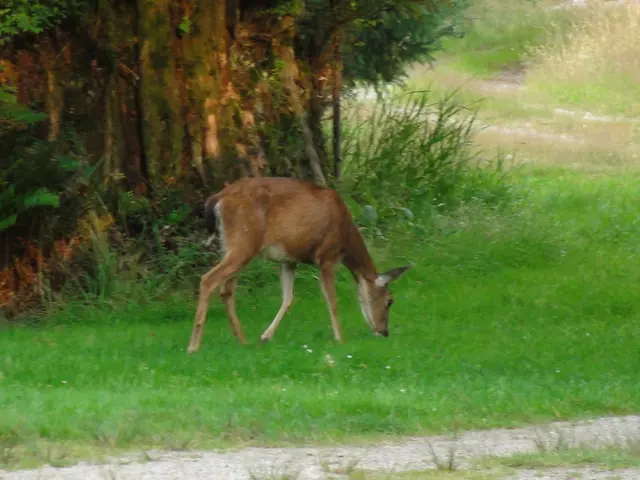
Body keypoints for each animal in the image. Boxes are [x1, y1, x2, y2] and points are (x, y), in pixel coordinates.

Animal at [187, 177, 411, 354]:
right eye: (390, 301)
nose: (384, 332)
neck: (346, 237)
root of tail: (218, 199)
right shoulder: (327, 256)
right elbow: (332, 300)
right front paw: (340, 339)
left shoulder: (288, 260)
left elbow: (288, 298)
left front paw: (265, 337)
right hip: (243, 242)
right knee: (209, 280)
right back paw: (193, 346)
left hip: (231, 246)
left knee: (226, 289)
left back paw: (242, 341)